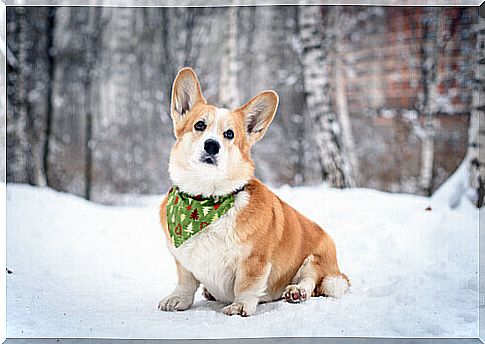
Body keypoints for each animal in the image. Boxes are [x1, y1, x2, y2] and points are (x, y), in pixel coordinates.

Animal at [159, 67, 348, 318]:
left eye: (229, 134)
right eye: (199, 125)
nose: (212, 145)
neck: (206, 200)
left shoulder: (255, 260)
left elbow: (246, 285)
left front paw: (240, 306)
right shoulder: (183, 261)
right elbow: (185, 282)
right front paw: (178, 299)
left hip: (317, 260)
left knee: (312, 279)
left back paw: (296, 291)